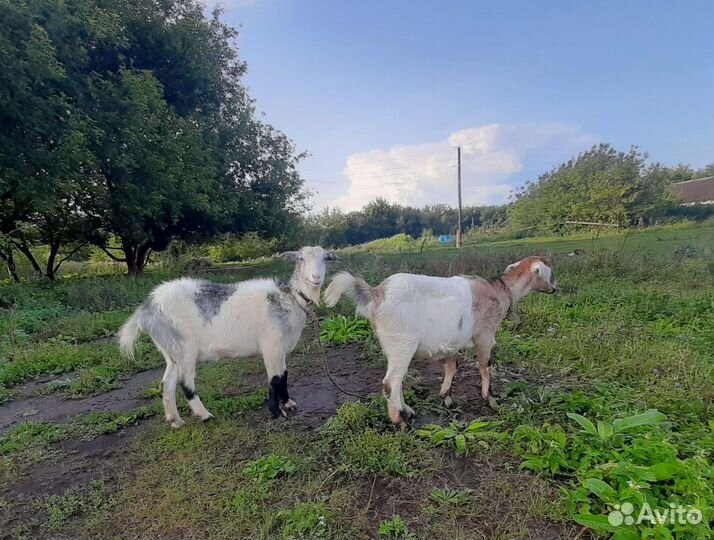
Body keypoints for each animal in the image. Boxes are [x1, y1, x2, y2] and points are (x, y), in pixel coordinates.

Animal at [118, 246, 338, 427]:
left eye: (325, 259)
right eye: (301, 258)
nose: (316, 277)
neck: (290, 298)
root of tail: (147, 309)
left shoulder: (281, 347)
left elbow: (284, 374)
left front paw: (288, 403)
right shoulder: (271, 344)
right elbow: (274, 379)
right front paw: (277, 413)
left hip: (172, 350)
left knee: (167, 383)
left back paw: (175, 420)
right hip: (185, 348)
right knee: (185, 383)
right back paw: (205, 415)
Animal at [323, 256, 557, 425]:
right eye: (550, 273)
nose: (555, 289)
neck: (499, 290)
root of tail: (377, 293)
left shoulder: (451, 340)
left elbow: (452, 366)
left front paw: (446, 397)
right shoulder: (485, 335)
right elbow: (485, 365)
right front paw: (490, 400)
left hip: (395, 347)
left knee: (398, 380)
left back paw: (407, 411)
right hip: (402, 342)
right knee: (390, 383)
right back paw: (400, 421)